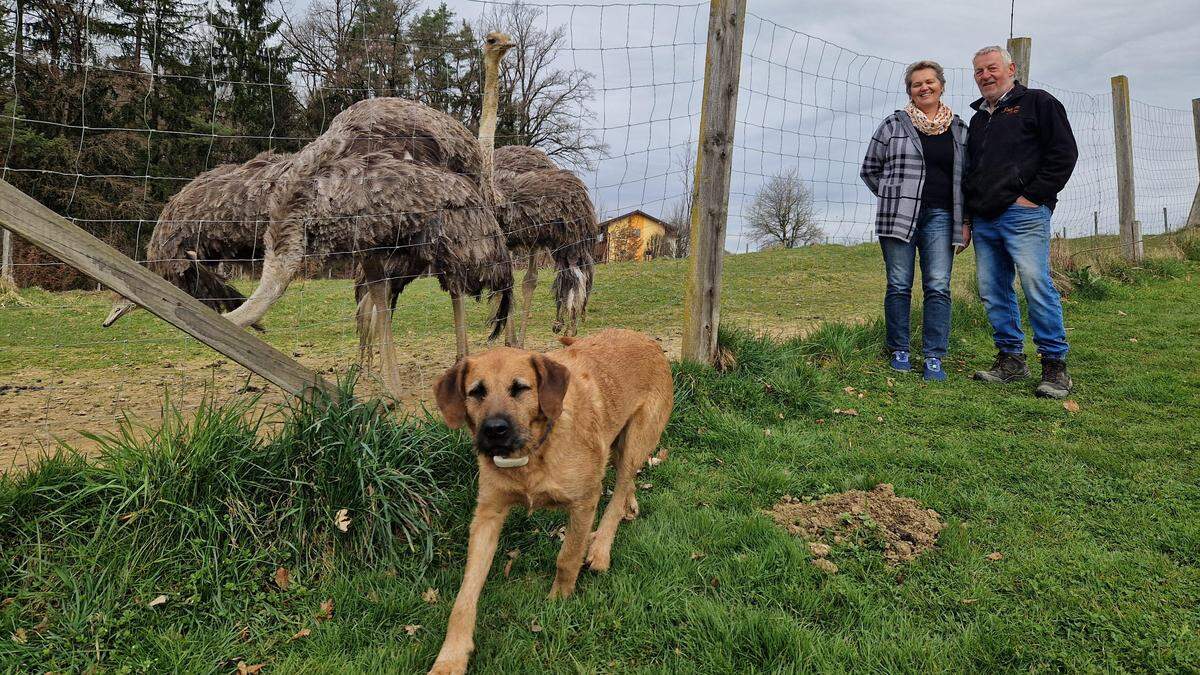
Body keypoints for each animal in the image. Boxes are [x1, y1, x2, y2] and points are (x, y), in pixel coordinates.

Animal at [427, 329, 672, 667]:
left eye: (520, 388)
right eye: (476, 392)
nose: (494, 430)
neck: (530, 456)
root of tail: (643, 337)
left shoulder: (584, 500)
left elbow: (567, 557)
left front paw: (559, 600)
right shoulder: (487, 515)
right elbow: (465, 594)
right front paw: (451, 657)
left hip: (637, 438)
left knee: (621, 487)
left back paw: (601, 548)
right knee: (628, 479)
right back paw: (630, 505)